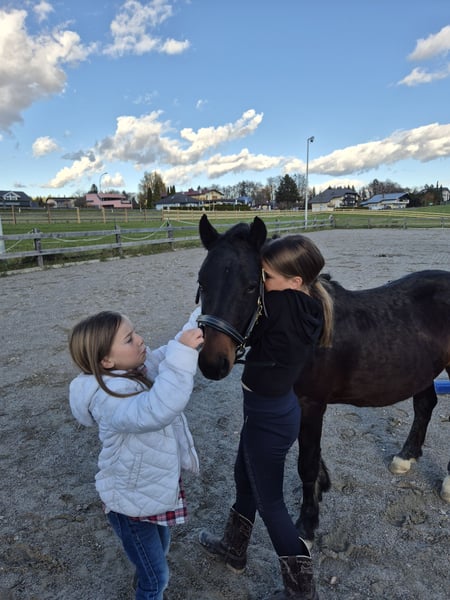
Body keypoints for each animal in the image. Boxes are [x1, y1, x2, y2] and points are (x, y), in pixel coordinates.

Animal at [196, 213, 450, 542]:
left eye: (252, 286)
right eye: (202, 283)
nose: (213, 363)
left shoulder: (312, 403)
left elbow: (306, 462)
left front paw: (307, 524)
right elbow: (311, 457)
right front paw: (322, 485)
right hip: (423, 370)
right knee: (424, 405)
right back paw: (405, 457)